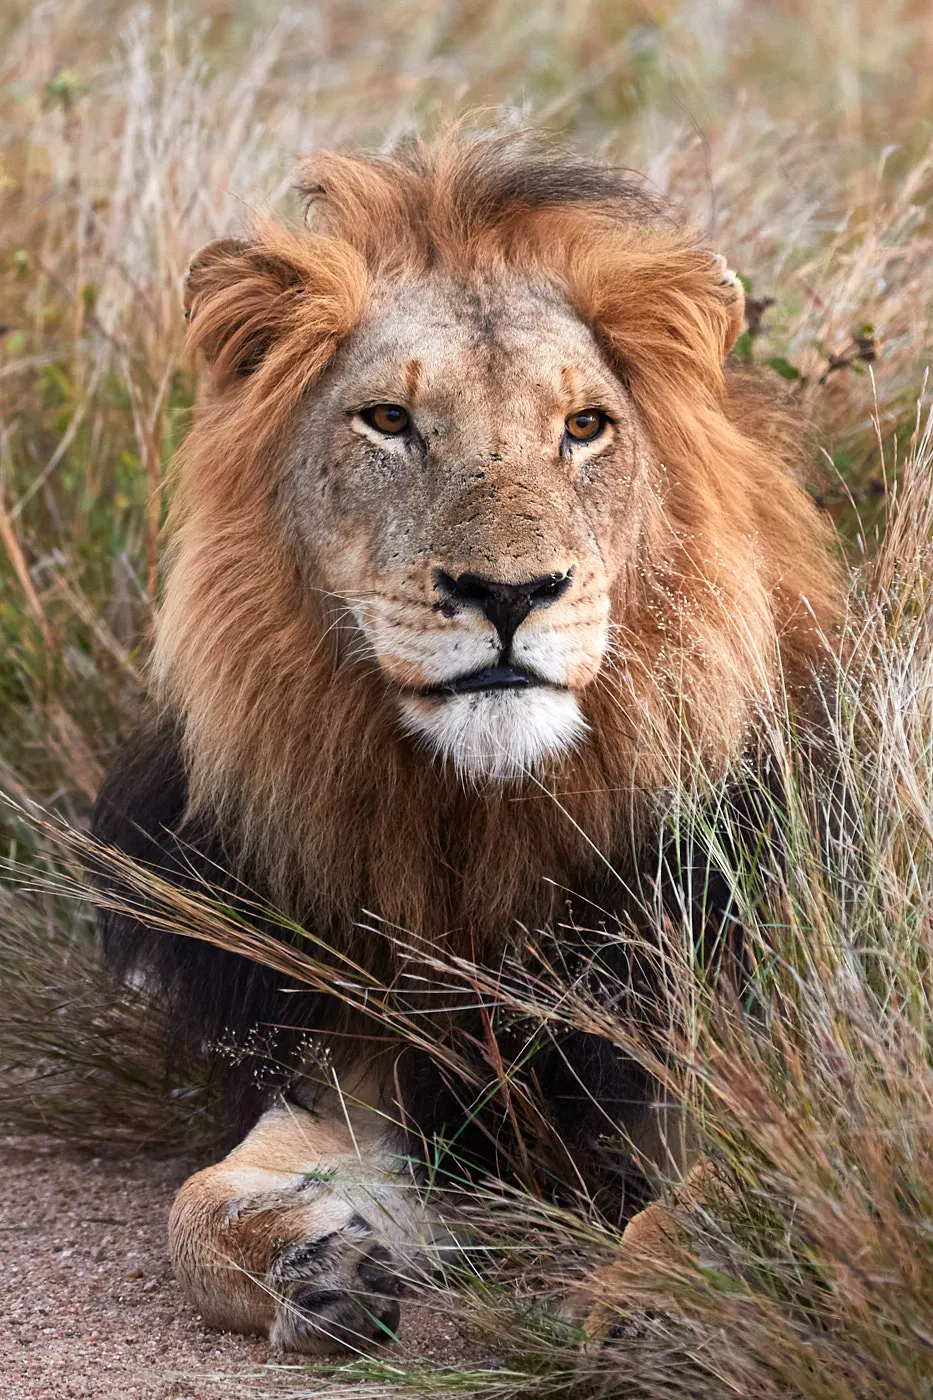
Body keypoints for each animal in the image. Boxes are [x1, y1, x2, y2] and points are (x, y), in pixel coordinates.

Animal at [92, 130, 842, 1354]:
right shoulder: (355, 1060)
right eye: (389, 422)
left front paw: (664, 1304)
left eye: (584, 427)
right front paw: (315, 1260)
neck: (481, 827)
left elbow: (743, 1181)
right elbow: (195, 1207)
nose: (509, 593)